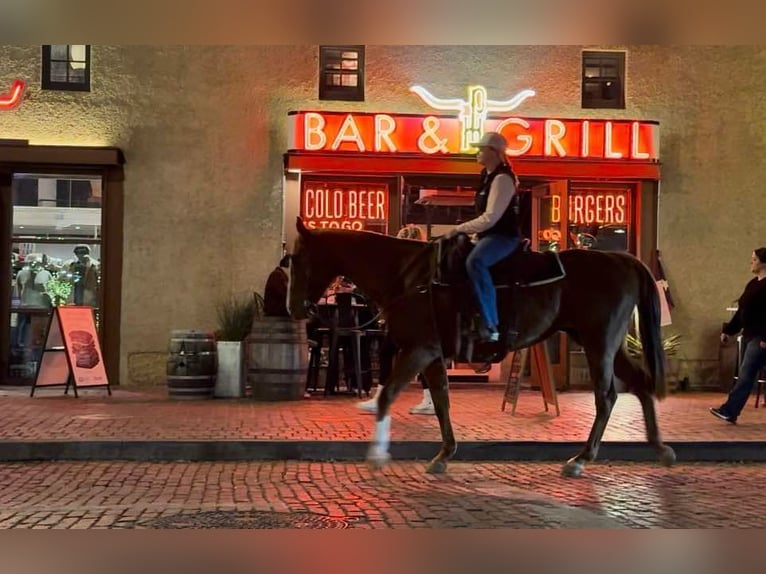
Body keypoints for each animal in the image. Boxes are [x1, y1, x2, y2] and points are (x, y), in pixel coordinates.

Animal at [290, 218, 680, 480]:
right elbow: (442, 401)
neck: (408, 277)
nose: (295, 309)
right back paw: (659, 448)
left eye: (295, 259)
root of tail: (622, 259)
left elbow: (389, 395)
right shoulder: (431, 354)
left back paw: (581, 459)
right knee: (639, 384)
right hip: (606, 344)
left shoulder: (418, 349)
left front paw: (377, 455)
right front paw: (444, 454)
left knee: (607, 396)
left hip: (599, 343)